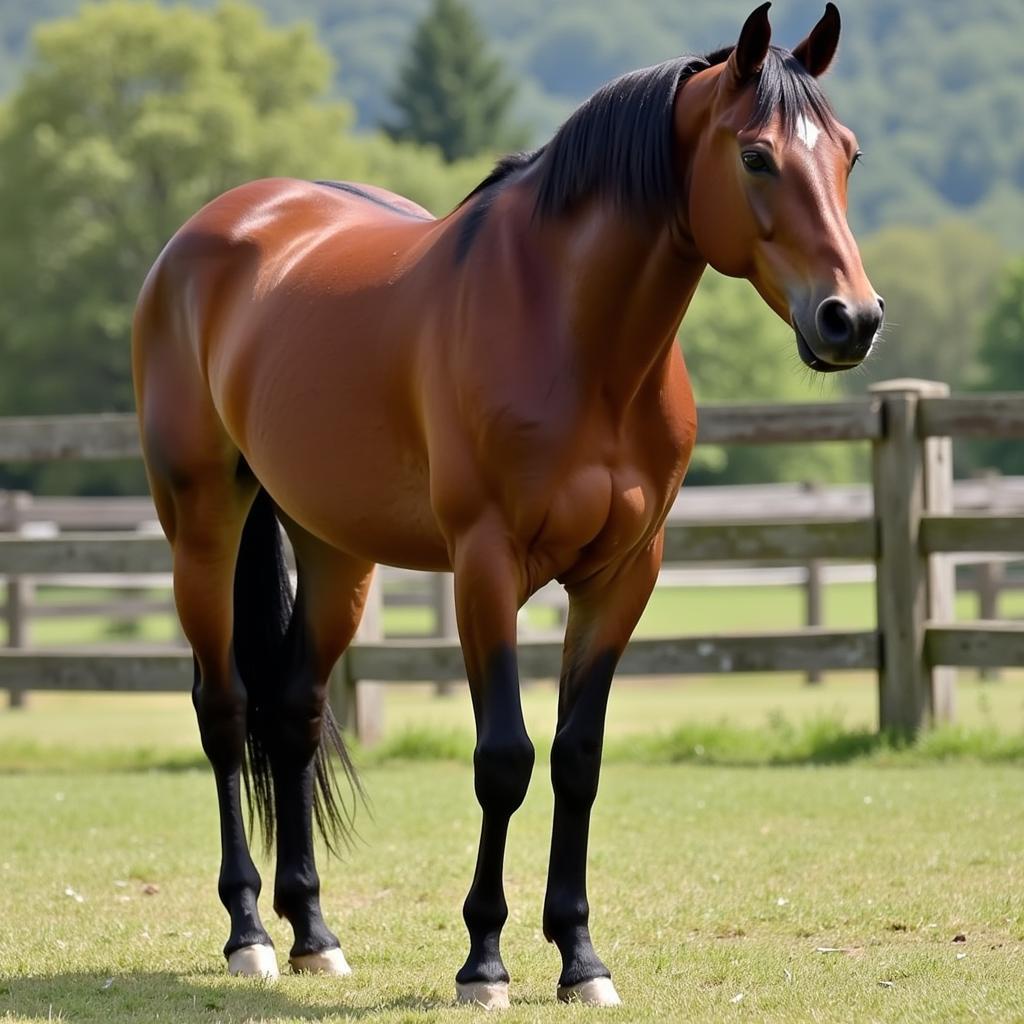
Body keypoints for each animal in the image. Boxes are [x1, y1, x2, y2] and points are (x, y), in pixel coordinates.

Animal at [130, 2, 880, 1007]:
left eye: (848, 154)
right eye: (757, 155)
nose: (852, 320)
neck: (572, 335)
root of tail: (215, 228)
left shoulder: (622, 575)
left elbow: (576, 758)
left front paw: (580, 958)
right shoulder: (485, 568)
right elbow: (505, 759)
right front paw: (483, 961)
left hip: (334, 550)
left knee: (292, 712)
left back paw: (315, 933)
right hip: (202, 526)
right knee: (224, 711)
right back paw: (249, 932)